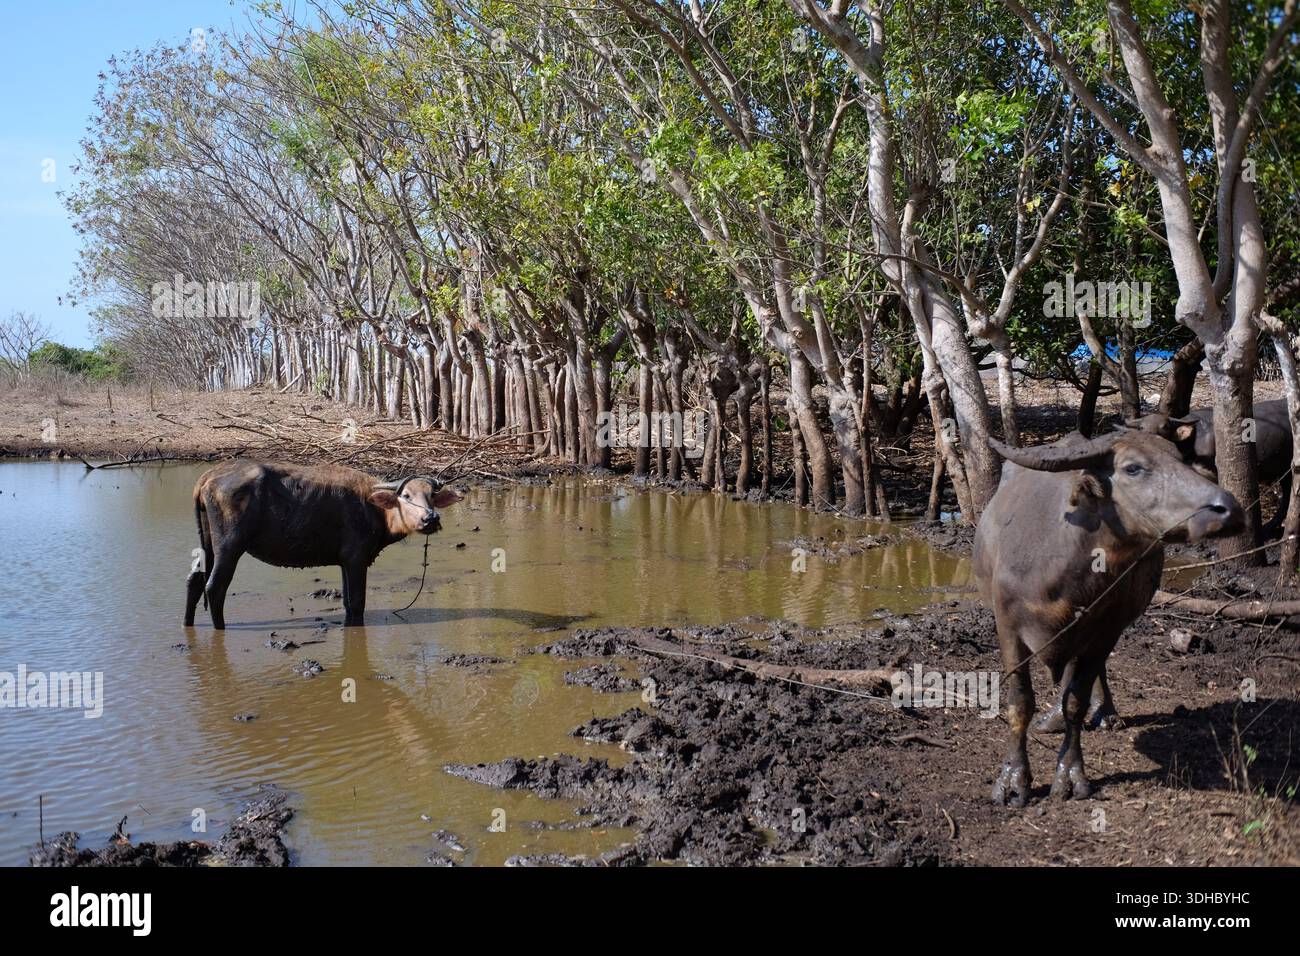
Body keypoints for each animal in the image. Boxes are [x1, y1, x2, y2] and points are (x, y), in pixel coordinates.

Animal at [184, 461, 461, 629]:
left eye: (431, 496)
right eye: (406, 495)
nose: (431, 518)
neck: (374, 509)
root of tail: (208, 477)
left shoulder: (344, 562)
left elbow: (348, 603)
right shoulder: (356, 560)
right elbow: (357, 603)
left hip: (208, 544)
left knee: (194, 581)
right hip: (229, 547)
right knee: (214, 587)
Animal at [974, 429, 1243, 806]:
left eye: (1180, 458)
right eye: (1133, 468)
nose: (1228, 508)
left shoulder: (1105, 630)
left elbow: (1076, 702)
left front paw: (1070, 776)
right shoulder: (1008, 627)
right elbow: (1020, 704)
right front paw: (1013, 781)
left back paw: (1103, 712)